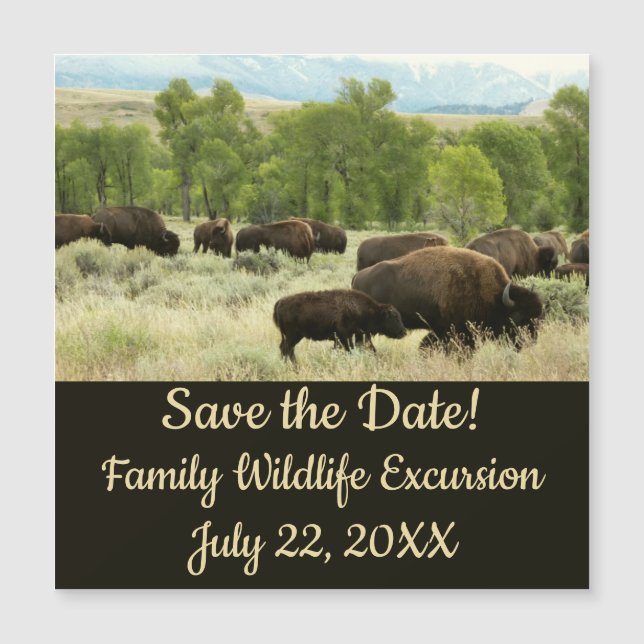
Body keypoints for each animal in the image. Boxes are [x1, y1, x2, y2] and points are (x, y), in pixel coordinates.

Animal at [273, 289, 406, 362]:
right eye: (394, 317)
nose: (403, 332)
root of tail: (280, 302)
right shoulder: (345, 336)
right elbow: (350, 349)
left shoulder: (351, 336)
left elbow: (371, 349)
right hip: (292, 335)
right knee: (286, 349)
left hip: (294, 336)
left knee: (287, 350)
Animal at [352, 246, 543, 349]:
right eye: (517, 318)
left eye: (538, 317)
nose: (530, 342)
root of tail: (358, 276)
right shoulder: (459, 330)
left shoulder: (442, 329)